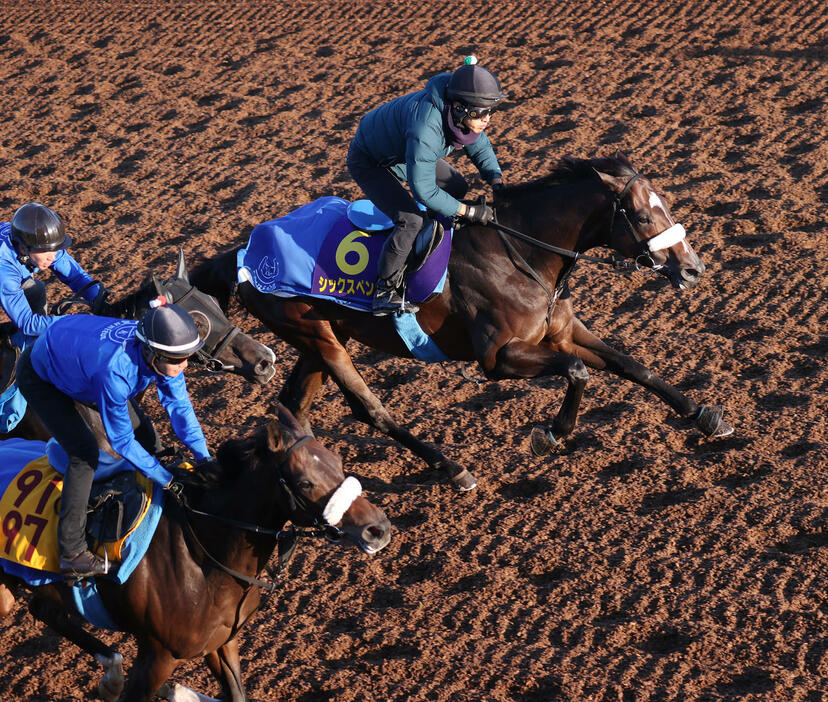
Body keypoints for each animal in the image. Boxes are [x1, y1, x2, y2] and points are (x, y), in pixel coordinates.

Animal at [0, 408, 392, 702]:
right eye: (305, 482)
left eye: (337, 461)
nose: (378, 528)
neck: (205, 557)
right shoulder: (157, 656)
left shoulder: (222, 642)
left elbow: (236, 693)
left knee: (44, 609)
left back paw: (111, 675)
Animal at [192, 155, 732, 492]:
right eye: (640, 216)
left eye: (666, 205)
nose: (693, 268)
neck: (520, 251)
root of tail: (244, 253)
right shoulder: (498, 357)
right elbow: (577, 374)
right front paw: (552, 432)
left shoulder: (561, 331)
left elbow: (631, 365)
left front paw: (705, 415)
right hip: (318, 337)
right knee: (371, 411)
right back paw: (452, 470)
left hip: (321, 338)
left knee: (294, 408)